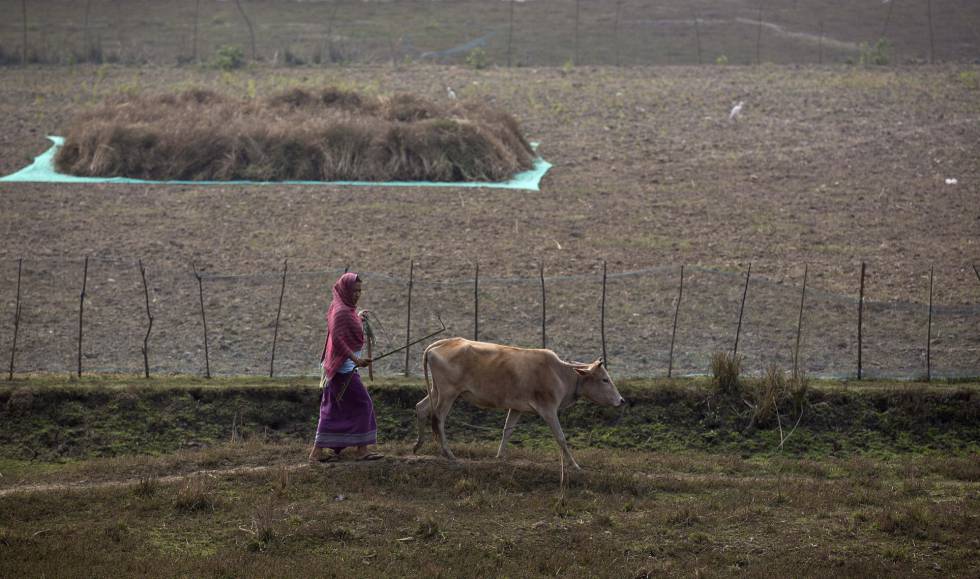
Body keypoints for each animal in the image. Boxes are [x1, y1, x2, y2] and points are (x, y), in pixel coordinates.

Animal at [412, 340, 624, 472]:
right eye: (605, 379)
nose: (621, 400)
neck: (561, 373)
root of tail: (442, 343)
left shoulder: (516, 409)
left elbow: (507, 431)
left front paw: (499, 457)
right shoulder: (548, 410)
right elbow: (561, 438)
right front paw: (575, 465)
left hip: (436, 391)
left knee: (421, 408)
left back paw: (418, 445)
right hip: (448, 394)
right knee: (438, 419)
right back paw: (448, 454)